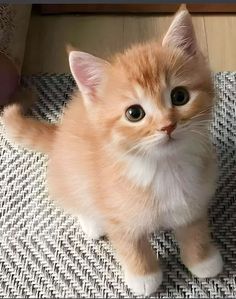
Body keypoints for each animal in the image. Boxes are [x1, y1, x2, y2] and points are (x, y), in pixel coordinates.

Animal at [2, 7, 222, 298]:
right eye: (134, 113)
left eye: (180, 96)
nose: (167, 125)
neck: (163, 167)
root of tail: (59, 134)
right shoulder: (116, 212)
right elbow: (130, 245)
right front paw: (144, 276)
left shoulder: (193, 200)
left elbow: (194, 229)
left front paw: (202, 260)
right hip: (70, 174)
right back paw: (91, 222)